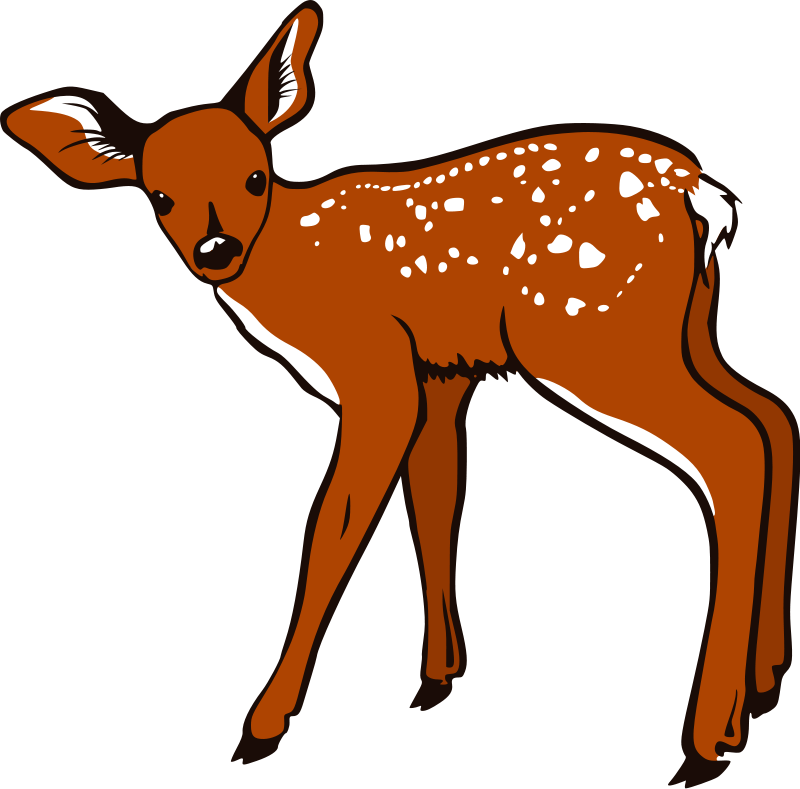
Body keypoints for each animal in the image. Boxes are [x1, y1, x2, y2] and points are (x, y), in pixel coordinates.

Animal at [2, 1, 796, 785]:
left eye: (257, 176)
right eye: (159, 196)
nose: (216, 251)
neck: (294, 270)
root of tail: (701, 192)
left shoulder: (377, 370)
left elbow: (330, 528)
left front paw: (262, 726)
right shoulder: (440, 374)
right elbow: (436, 496)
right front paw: (437, 678)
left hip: (588, 334)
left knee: (731, 446)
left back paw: (706, 741)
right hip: (684, 330)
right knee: (771, 417)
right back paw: (763, 686)